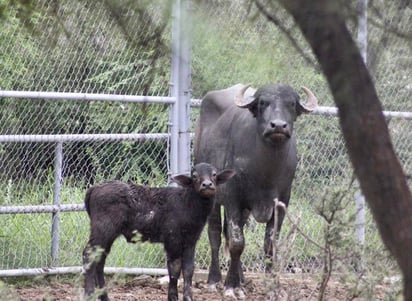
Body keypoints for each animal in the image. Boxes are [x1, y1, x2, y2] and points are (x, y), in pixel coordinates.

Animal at [83, 163, 235, 298]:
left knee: (99, 260)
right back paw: (89, 294)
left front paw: (188, 297)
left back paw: (103, 296)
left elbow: (188, 269)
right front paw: (172, 297)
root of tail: (94, 188)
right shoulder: (172, 240)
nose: (207, 185)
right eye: (194, 175)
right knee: (89, 255)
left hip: (107, 235)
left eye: (214, 174)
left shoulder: (191, 241)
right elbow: (174, 269)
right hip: (102, 230)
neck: (186, 203)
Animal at [194, 82, 318, 296]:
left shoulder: (282, 201)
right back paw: (215, 279)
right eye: (262, 103)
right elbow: (236, 242)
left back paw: (242, 279)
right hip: (211, 195)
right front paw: (231, 286)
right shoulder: (233, 197)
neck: (266, 171)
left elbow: (270, 244)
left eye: (292, 103)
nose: (278, 126)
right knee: (215, 235)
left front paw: (273, 287)